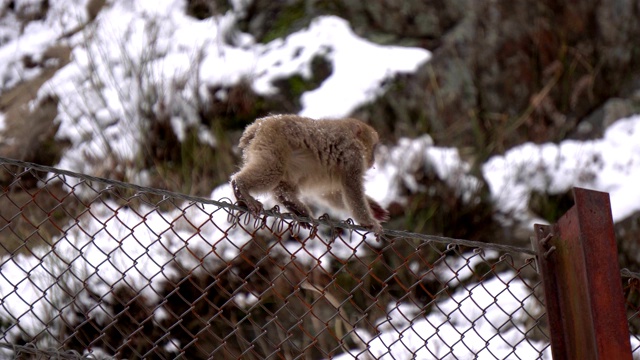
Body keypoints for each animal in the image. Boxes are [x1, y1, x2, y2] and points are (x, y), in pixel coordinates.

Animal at [230, 114, 390, 235]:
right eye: (373, 148)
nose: (373, 160)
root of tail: (257, 125)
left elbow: (331, 194)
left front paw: (374, 208)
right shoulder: (353, 157)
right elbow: (352, 188)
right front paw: (368, 222)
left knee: (282, 183)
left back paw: (293, 205)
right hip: (273, 142)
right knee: (273, 170)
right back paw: (240, 186)